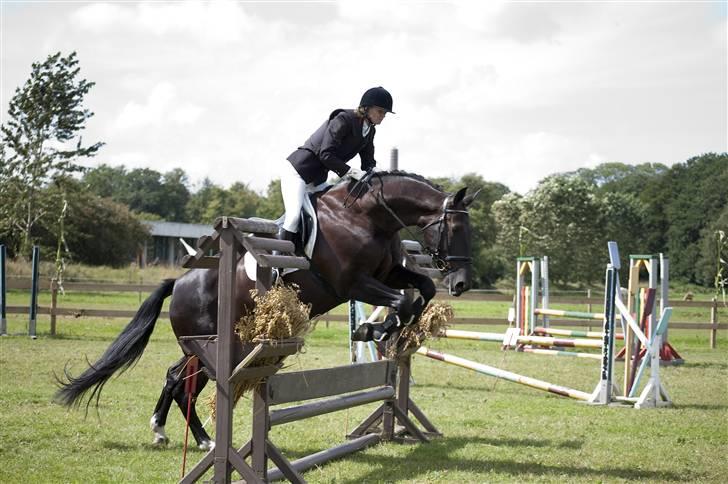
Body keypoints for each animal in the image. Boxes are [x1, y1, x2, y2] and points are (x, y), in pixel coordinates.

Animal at [55, 171, 478, 450]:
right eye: (455, 230)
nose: (461, 283)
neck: (365, 217)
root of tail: (180, 283)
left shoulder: (389, 273)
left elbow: (420, 291)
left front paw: (386, 328)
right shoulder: (352, 284)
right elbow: (404, 299)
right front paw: (373, 330)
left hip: (201, 347)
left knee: (175, 379)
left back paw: (166, 431)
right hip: (209, 345)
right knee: (183, 386)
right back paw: (205, 442)